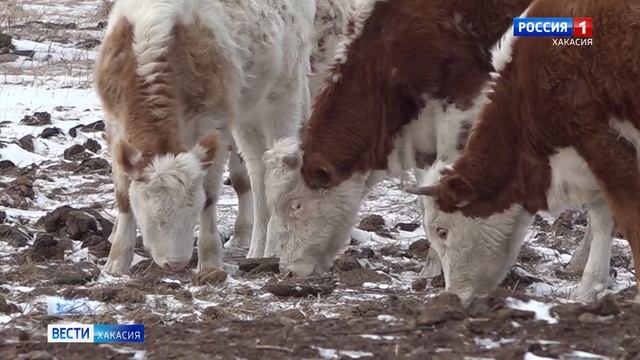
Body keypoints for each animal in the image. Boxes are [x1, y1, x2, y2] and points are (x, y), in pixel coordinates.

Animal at [95, 0, 316, 272]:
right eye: (153, 217)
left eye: (193, 210)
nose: (176, 264)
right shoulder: (116, 125)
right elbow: (123, 196)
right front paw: (116, 262)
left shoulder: (214, 122)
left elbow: (210, 194)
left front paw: (210, 262)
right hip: (247, 112)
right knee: (257, 169)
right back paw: (257, 249)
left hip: (283, 94)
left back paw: (271, 249)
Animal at [410, 0, 640, 304]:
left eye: (442, 231)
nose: (453, 296)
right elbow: (603, 218)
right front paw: (589, 287)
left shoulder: (605, 146)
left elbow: (628, 219)